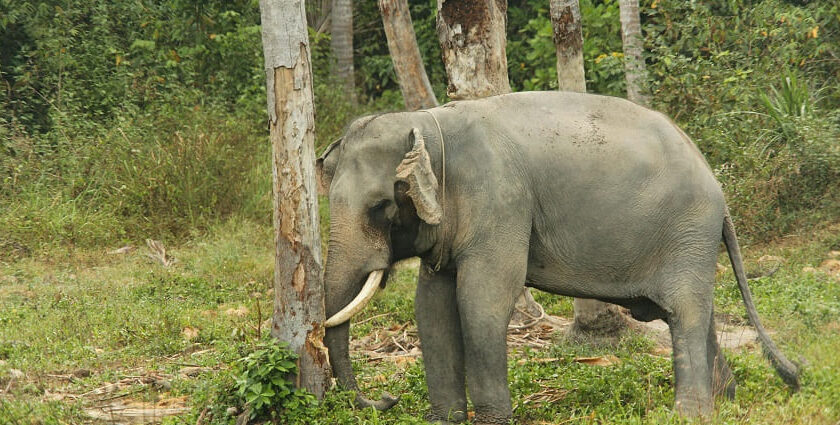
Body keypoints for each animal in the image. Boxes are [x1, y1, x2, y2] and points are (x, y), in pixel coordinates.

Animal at [316, 91, 800, 422]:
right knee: (699, 312)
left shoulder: (501, 198)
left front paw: (493, 420)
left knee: (686, 312)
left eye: (380, 206)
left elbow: (483, 299)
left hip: (689, 229)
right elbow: (432, 306)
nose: (386, 399)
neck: (428, 122)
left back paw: (690, 414)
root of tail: (718, 187)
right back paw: (726, 401)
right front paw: (445, 420)